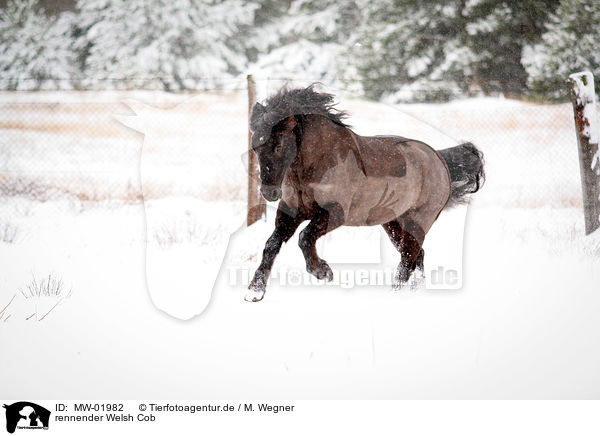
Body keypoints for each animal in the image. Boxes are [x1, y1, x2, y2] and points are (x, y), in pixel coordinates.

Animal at [244, 86, 482, 302]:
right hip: (394, 223)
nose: (269, 192)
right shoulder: (292, 212)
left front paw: (323, 271)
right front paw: (255, 292)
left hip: (419, 221)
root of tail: (440, 160)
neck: (319, 162)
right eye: (255, 147)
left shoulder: (335, 213)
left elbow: (305, 237)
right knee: (417, 257)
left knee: (408, 259)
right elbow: (271, 245)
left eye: (278, 146)